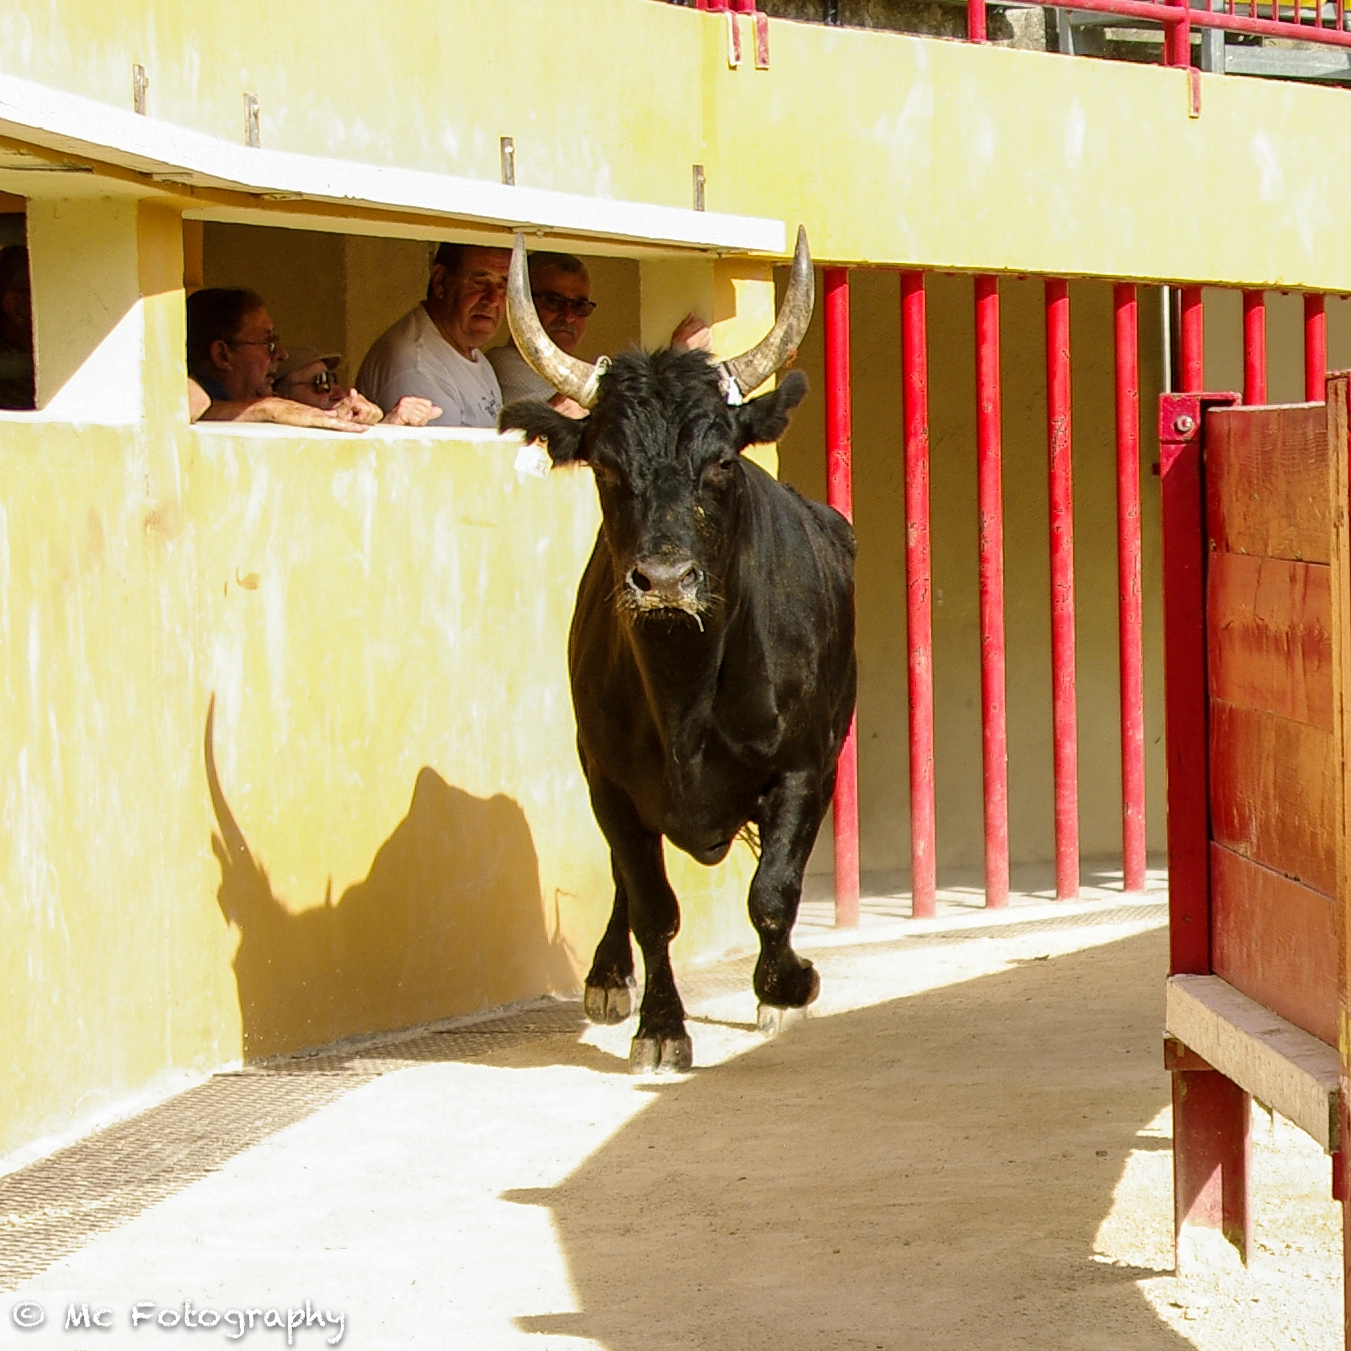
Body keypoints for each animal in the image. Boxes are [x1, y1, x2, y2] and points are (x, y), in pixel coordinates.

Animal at [497, 351, 853, 1075]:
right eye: (607, 466)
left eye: (719, 461)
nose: (664, 581)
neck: (686, 687)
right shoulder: (608, 780)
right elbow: (651, 905)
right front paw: (660, 1028)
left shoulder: (807, 767)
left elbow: (773, 892)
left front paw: (790, 984)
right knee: (624, 880)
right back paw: (608, 977)